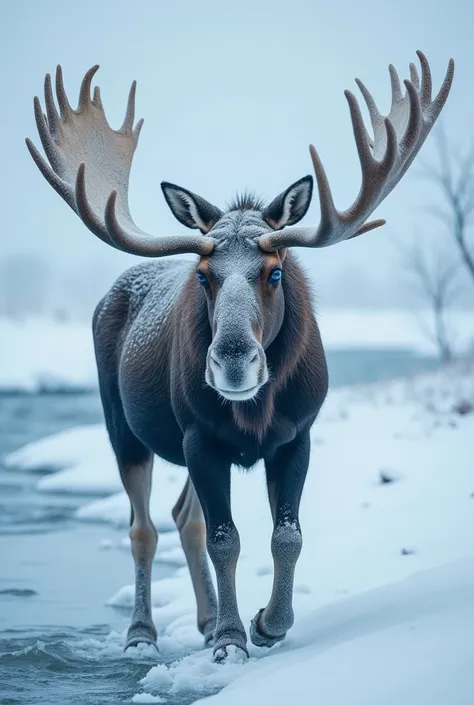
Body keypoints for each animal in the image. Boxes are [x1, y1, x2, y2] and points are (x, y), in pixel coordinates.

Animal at [27, 53, 454, 660]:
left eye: (274, 271)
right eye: (205, 275)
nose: (232, 360)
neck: (257, 411)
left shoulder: (296, 434)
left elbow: (286, 534)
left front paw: (267, 623)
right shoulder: (199, 438)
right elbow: (225, 539)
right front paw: (233, 638)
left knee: (183, 516)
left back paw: (204, 619)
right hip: (124, 426)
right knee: (144, 526)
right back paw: (143, 633)